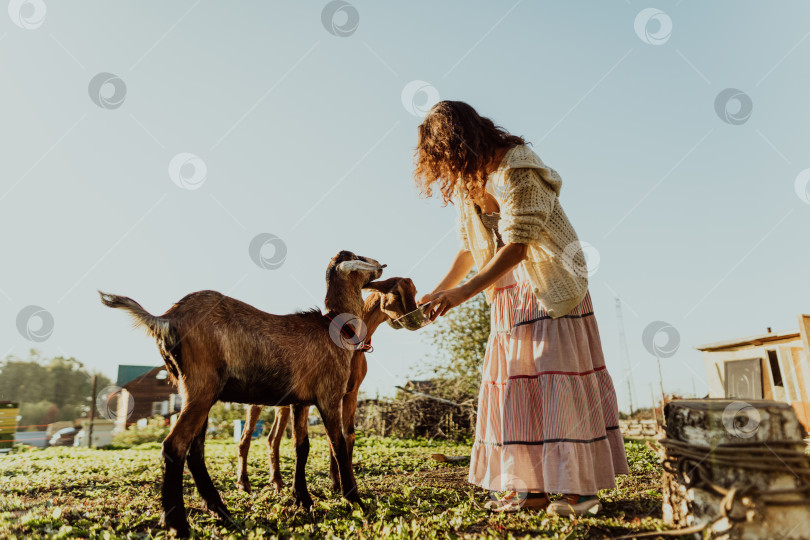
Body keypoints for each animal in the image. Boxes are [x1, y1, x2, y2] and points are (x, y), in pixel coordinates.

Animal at [99, 252, 386, 536]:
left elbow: (301, 447)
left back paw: (221, 512)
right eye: (358, 257)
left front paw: (302, 499)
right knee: (175, 445)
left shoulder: (300, 401)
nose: (381, 266)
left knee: (195, 451)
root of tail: (167, 319)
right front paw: (354, 500)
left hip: (194, 390)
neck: (335, 328)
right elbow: (339, 444)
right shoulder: (329, 395)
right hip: (200, 387)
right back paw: (179, 524)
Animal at [230, 278, 414, 494]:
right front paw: (336, 481)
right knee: (245, 437)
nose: (413, 316)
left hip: (282, 405)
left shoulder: (350, 392)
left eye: (415, 291)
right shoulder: (327, 394)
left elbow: (347, 434)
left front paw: (347, 482)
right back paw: (244, 483)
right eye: (396, 293)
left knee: (272, 439)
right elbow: (329, 436)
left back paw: (277, 481)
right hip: (257, 401)